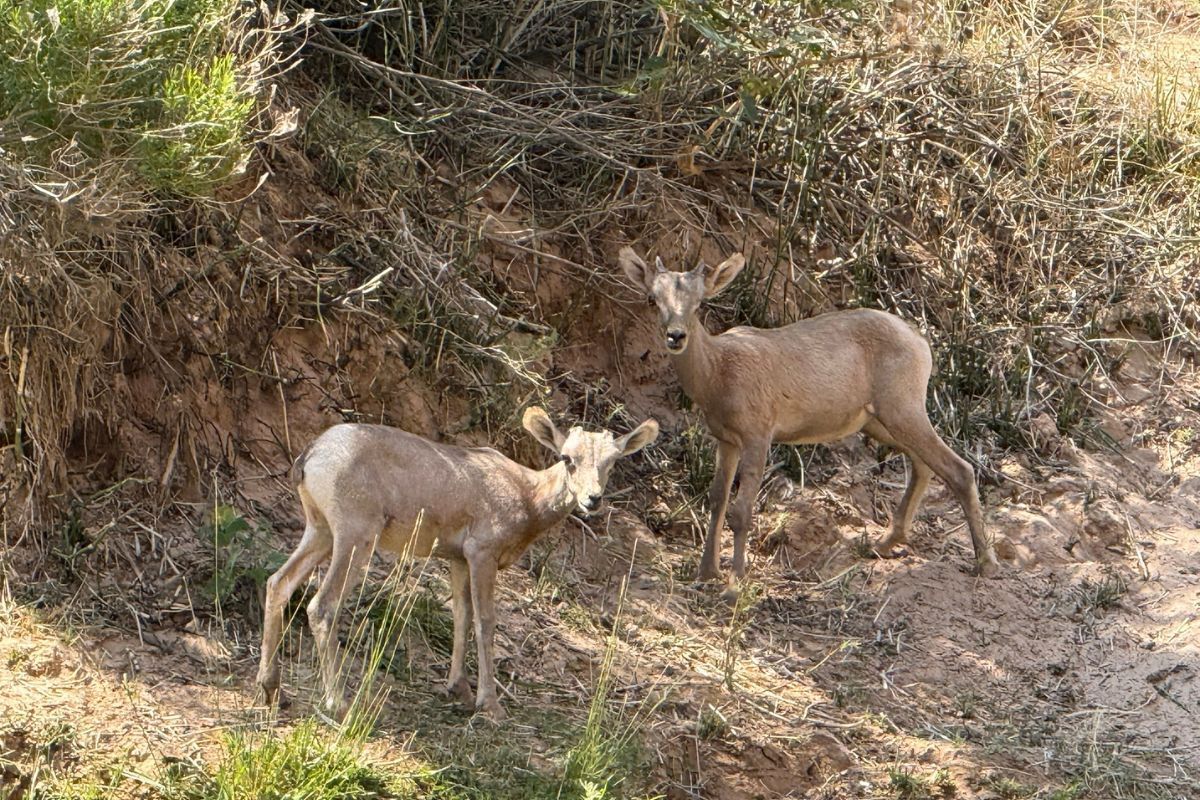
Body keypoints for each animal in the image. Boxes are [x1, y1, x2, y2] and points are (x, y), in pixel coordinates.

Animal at [255, 407, 659, 722]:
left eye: (611, 462)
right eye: (567, 458)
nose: (593, 499)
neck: (528, 498)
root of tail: (312, 455)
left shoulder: (456, 559)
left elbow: (461, 616)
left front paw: (458, 689)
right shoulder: (482, 553)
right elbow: (485, 621)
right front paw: (490, 705)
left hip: (320, 531)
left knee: (278, 583)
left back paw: (273, 690)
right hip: (355, 537)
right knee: (322, 606)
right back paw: (340, 704)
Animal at [618, 246, 1001, 589]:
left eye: (699, 303)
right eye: (653, 298)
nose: (676, 336)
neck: (719, 372)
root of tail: (920, 343)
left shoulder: (758, 435)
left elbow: (742, 511)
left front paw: (734, 585)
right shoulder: (726, 440)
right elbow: (716, 500)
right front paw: (705, 574)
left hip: (903, 409)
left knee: (958, 469)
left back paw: (985, 563)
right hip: (880, 422)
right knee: (923, 464)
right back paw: (884, 543)